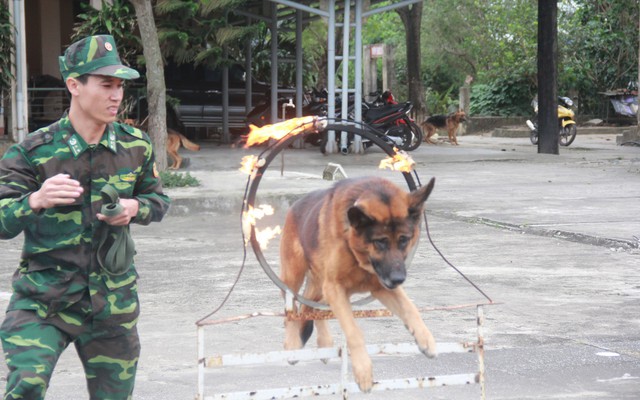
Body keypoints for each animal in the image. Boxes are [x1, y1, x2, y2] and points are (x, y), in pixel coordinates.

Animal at [282, 177, 440, 392]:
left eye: (404, 240)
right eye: (380, 242)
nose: (399, 279)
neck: (358, 253)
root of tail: (295, 205)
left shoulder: (379, 287)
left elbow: (410, 308)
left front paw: (425, 338)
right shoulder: (335, 287)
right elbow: (353, 331)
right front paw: (363, 370)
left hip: (326, 288)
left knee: (313, 306)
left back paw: (324, 343)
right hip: (294, 277)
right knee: (292, 309)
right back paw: (291, 344)